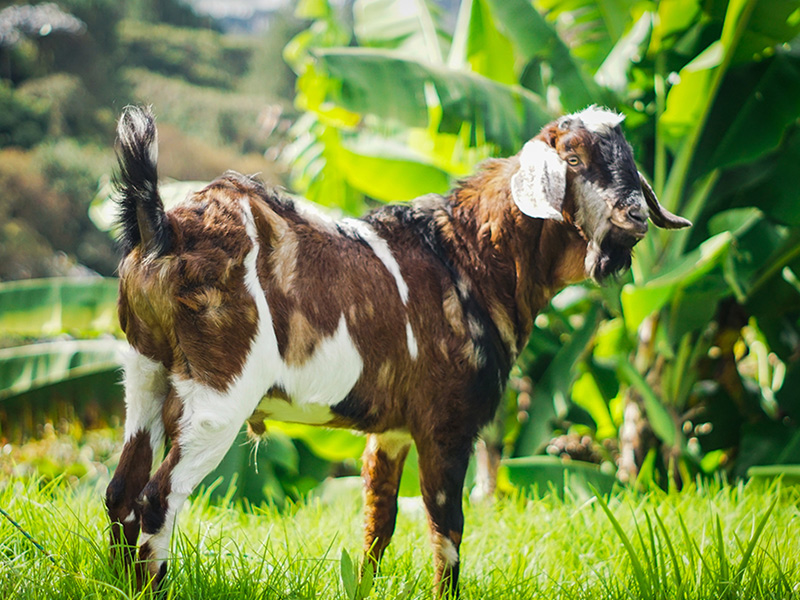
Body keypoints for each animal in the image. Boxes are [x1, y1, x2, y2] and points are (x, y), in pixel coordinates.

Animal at [101, 104, 688, 596]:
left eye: (630, 162)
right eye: (573, 158)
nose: (635, 215)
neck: (469, 256)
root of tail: (163, 226)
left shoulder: (391, 432)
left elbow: (377, 525)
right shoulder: (446, 427)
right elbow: (446, 531)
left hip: (146, 372)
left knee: (121, 492)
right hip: (220, 394)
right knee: (157, 498)